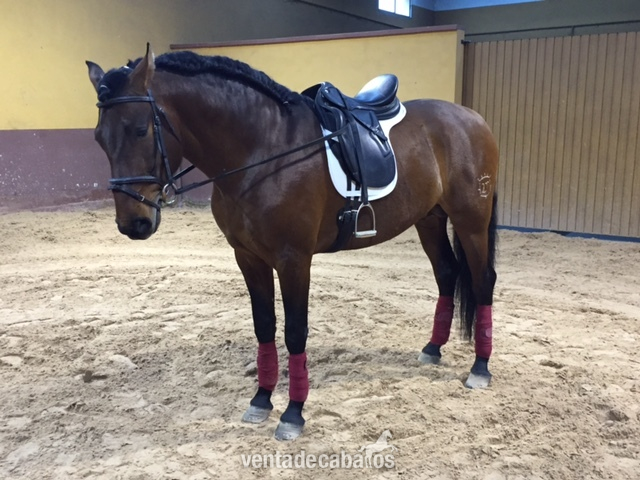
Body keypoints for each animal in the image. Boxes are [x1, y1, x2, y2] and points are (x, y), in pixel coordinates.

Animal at [86, 44, 498, 441]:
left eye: (140, 129)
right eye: (99, 139)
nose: (133, 223)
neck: (263, 150)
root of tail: (474, 119)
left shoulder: (293, 260)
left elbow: (295, 331)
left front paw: (293, 413)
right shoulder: (248, 257)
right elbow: (264, 326)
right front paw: (261, 399)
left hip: (471, 222)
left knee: (482, 282)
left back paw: (480, 367)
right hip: (429, 219)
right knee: (446, 274)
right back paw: (433, 349)